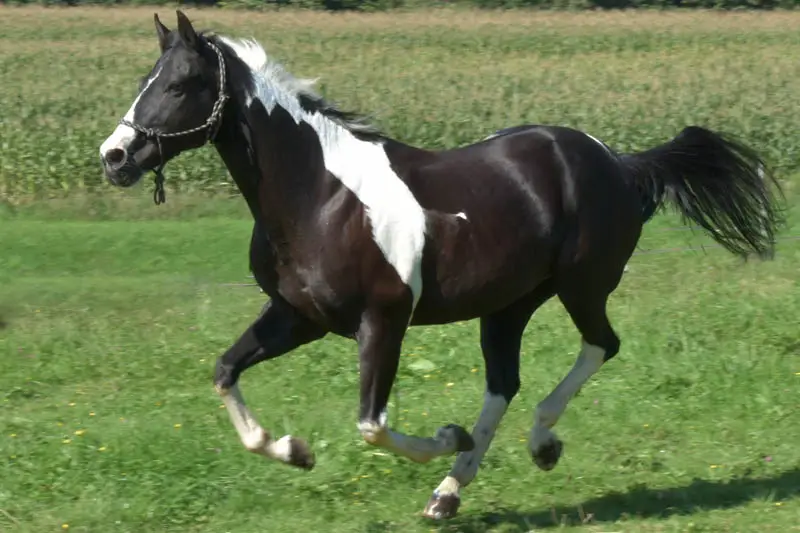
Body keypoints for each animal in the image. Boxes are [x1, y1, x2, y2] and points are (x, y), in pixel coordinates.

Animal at [98, 11, 783, 520]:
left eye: (180, 84)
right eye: (146, 79)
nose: (114, 156)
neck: (320, 195)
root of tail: (618, 162)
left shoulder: (384, 320)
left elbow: (372, 425)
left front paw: (445, 435)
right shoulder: (297, 316)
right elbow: (226, 372)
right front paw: (295, 452)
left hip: (582, 285)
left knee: (599, 347)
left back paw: (539, 445)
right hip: (509, 305)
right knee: (504, 383)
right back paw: (448, 495)